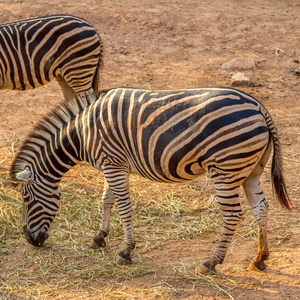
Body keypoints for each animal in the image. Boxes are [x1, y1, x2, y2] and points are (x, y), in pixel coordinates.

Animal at [8, 87, 290, 274]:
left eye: (26, 198)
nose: (31, 241)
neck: (83, 133)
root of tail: (259, 107)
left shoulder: (113, 164)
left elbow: (123, 206)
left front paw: (126, 251)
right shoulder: (111, 164)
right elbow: (107, 199)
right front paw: (99, 238)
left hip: (226, 169)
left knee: (233, 214)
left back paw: (212, 262)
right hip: (251, 169)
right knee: (260, 208)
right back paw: (261, 258)